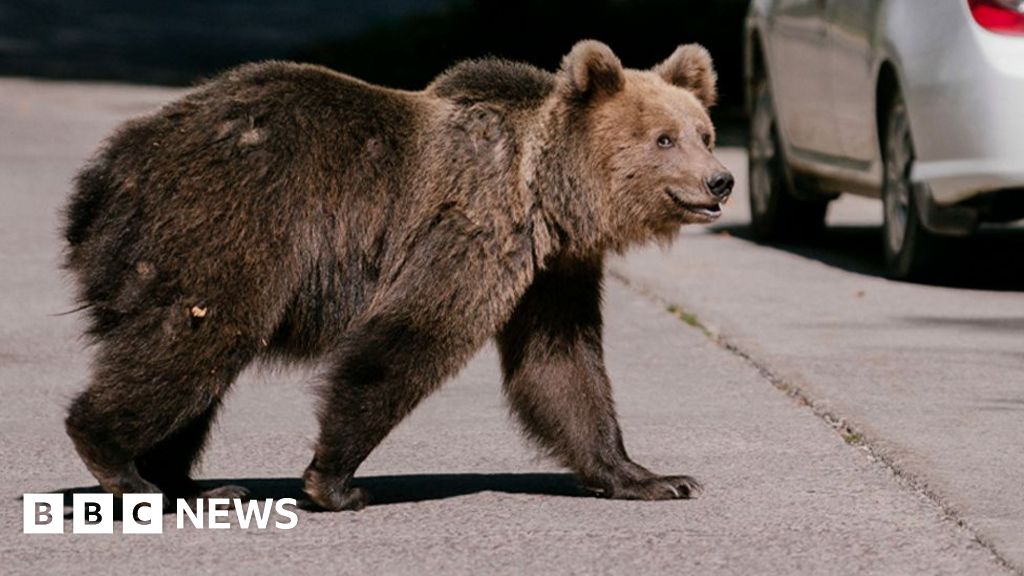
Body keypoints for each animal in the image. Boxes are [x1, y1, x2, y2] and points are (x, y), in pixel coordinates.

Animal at [61, 39, 729, 506]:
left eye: (704, 132)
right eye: (663, 139)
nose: (720, 180)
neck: (546, 197)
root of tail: (107, 172)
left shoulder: (551, 272)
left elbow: (561, 366)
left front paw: (653, 477)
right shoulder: (471, 229)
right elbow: (410, 338)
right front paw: (335, 483)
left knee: (196, 366)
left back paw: (191, 484)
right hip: (229, 224)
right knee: (194, 341)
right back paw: (120, 463)